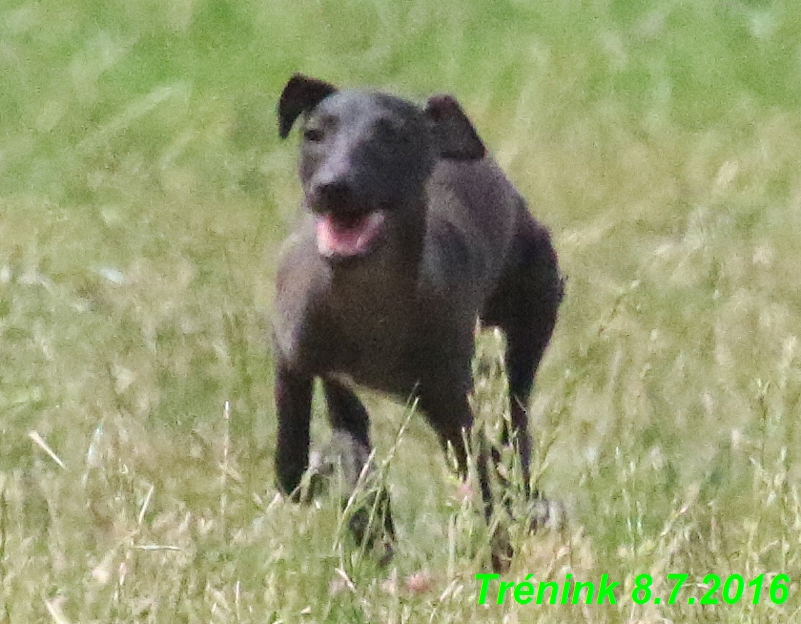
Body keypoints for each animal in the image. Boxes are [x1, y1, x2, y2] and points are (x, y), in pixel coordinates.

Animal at [272, 74, 560, 572]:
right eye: (314, 134)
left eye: (394, 137)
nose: (332, 187)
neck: (366, 299)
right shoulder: (294, 357)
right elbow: (293, 467)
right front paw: (341, 491)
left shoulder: (452, 404)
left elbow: (483, 483)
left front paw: (499, 555)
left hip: (534, 307)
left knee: (513, 425)